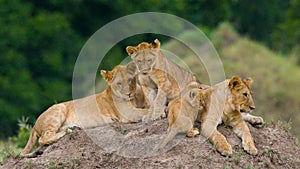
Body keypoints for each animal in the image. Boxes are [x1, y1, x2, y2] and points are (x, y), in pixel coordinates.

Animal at [20, 61, 152, 157]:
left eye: (130, 80)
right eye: (119, 83)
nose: (128, 94)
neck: (134, 97)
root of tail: (35, 125)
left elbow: (149, 107)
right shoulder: (129, 113)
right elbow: (146, 111)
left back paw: (72, 128)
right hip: (59, 108)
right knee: (43, 138)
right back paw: (65, 132)